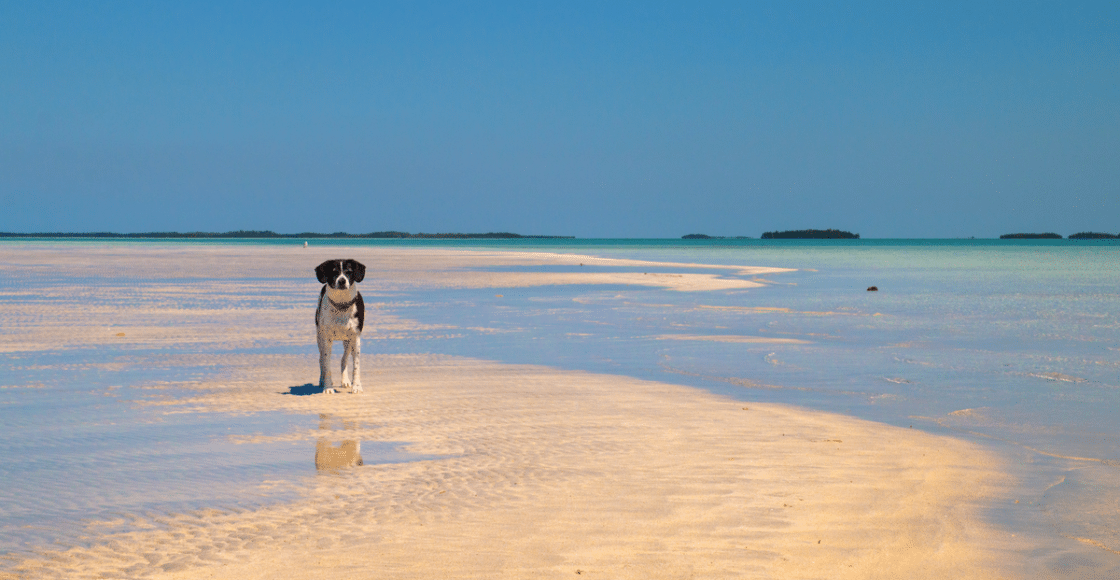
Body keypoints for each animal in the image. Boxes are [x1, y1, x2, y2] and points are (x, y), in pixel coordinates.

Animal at [315, 260, 367, 394]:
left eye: (349, 272)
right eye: (334, 272)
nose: (342, 281)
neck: (341, 305)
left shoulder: (355, 338)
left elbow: (356, 366)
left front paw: (356, 386)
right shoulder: (326, 339)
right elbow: (326, 364)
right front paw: (328, 387)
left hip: (348, 342)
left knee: (344, 360)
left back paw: (345, 381)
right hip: (319, 338)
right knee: (321, 360)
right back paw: (322, 380)